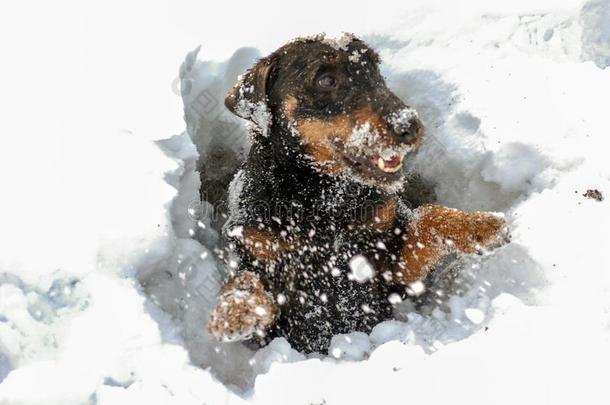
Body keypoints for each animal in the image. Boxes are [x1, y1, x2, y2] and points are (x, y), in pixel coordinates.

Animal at [205, 33, 508, 352]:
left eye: (375, 69)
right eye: (326, 80)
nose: (409, 126)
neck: (321, 201)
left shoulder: (396, 275)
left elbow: (427, 216)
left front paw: (482, 225)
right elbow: (245, 280)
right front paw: (235, 311)